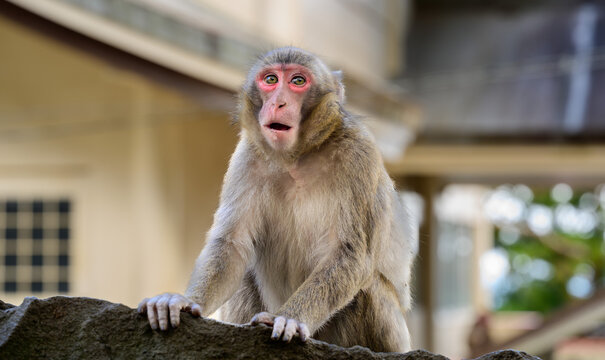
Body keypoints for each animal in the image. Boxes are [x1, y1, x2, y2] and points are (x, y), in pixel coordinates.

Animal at [138, 46, 416, 352]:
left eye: (298, 81)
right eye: (271, 79)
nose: (278, 103)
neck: (298, 156)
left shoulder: (359, 152)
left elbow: (349, 253)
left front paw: (291, 318)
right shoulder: (247, 156)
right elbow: (232, 243)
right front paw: (186, 301)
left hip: (393, 337)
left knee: (368, 286)